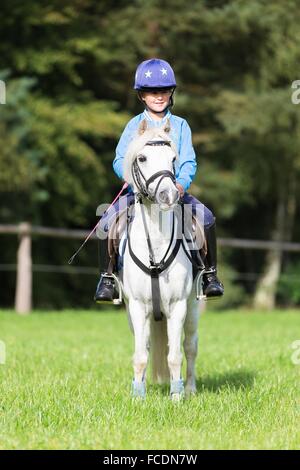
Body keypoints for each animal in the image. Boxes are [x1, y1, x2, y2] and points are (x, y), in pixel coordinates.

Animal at [120, 121, 203, 400]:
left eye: (173, 158)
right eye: (142, 158)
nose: (168, 196)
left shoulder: (178, 306)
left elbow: (175, 355)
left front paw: (176, 397)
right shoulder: (136, 307)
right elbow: (140, 356)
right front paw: (138, 396)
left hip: (193, 309)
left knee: (190, 346)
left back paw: (190, 389)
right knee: (145, 346)